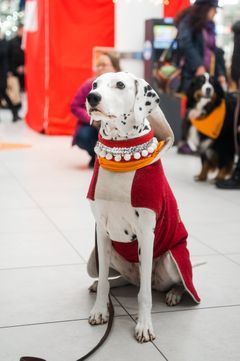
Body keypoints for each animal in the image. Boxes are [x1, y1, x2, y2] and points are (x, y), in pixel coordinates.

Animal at [85, 71, 200, 342]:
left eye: (120, 85)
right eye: (95, 84)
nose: (92, 97)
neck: (120, 155)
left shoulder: (146, 234)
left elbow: (145, 295)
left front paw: (144, 325)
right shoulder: (101, 232)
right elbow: (105, 280)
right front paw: (100, 310)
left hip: (170, 258)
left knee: (165, 284)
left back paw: (174, 293)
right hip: (105, 257)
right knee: (124, 280)